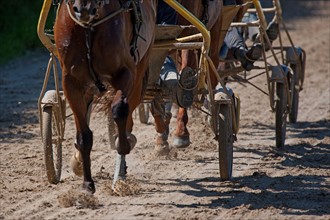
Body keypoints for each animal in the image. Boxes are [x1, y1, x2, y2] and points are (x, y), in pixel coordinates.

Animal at [54, 0, 157, 192]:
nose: (83, 10)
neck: (89, 27)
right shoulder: (72, 83)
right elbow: (84, 135)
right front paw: (87, 183)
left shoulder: (126, 71)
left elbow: (119, 109)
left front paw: (124, 145)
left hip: (142, 65)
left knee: (129, 111)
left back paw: (121, 171)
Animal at [153, 0, 223, 148]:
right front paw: (161, 134)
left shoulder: (190, 35)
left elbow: (185, 81)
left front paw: (181, 132)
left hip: (215, 27)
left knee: (213, 61)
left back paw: (211, 113)